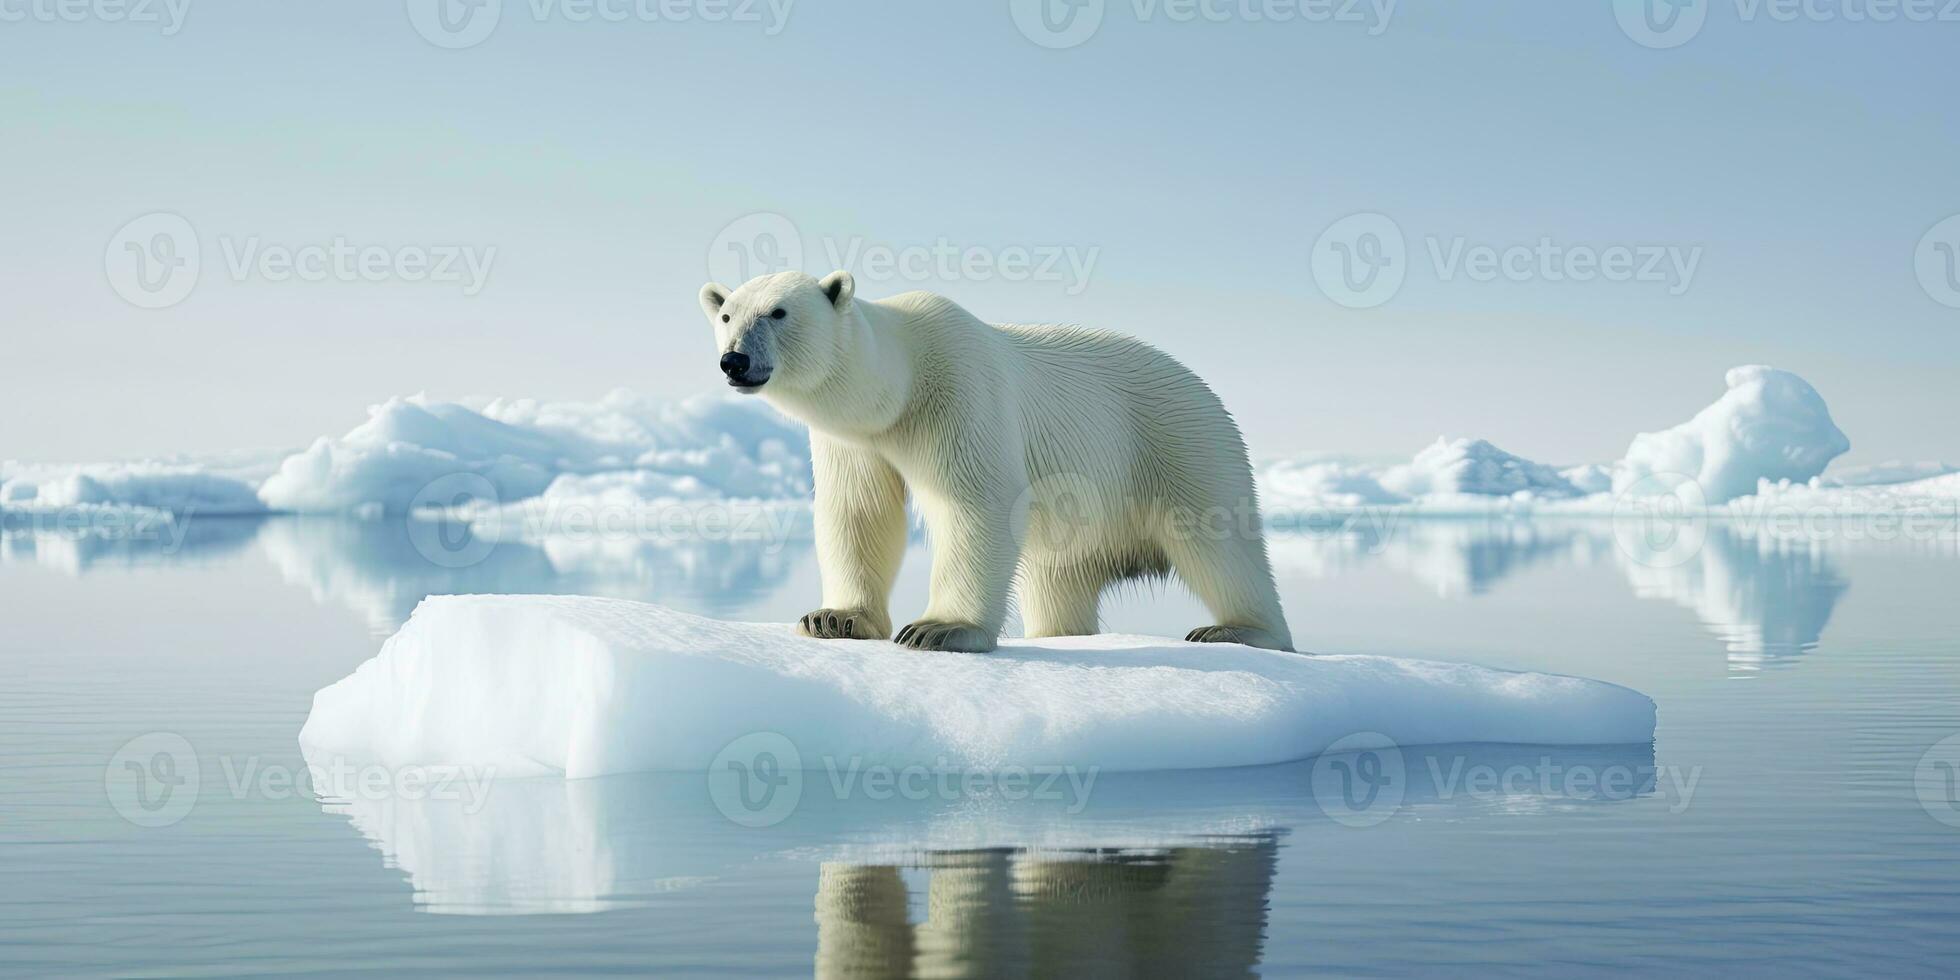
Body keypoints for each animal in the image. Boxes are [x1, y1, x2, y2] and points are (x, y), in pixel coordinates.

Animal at [697, 268, 1293, 654]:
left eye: (778, 312)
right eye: (726, 314)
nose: (734, 360)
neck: (901, 383)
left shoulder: (959, 390)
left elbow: (975, 501)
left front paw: (938, 629)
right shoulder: (856, 439)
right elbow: (859, 511)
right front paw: (833, 618)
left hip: (1182, 443)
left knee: (1219, 544)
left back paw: (1238, 630)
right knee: (1057, 578)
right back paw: (1058, 633)